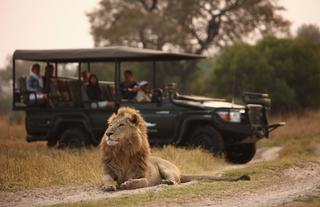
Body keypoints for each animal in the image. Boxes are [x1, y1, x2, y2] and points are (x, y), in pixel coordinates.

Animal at [100, 106, 250, 191]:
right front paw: (109, 186)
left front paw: (126, 184)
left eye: (121, 125)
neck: (123, 151)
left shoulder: (142, 175)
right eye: (110, 125)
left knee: (175, 181)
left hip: (166, 168)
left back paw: (166, 181)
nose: (108, 133)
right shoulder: (108, 172)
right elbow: (106, 179)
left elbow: (141, 182)